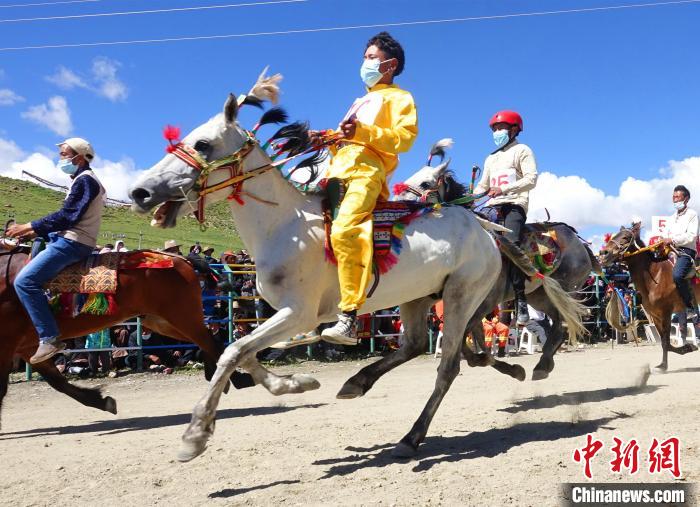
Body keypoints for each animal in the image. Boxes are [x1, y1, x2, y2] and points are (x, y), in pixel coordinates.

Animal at [0, 245, 252, 420]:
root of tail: (182, 261)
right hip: (164, 322)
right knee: (207, 340)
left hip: (180, 317)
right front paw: (101, 401)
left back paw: (235, 378)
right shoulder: (29, 347)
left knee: (210, 341)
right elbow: (58, 382)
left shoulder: (9, 344)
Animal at [600, 224, 696, 372]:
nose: (604, 253)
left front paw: (685, 349)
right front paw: (665, 363)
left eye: (626, 237)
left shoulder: (666, 312)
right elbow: (664, 342)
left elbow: (666, 341)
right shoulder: (655, 315)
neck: (655, 276)